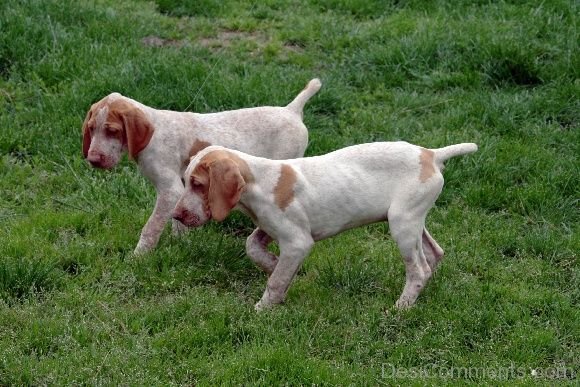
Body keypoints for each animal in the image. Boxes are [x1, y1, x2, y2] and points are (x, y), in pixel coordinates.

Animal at [81, 79, 322, 255]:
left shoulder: (170, 190)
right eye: (91, 128)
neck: (154, 132)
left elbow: (151, 227)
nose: (93, 159)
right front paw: (180, 245)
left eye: (112, 131)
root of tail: (291, 110)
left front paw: (139, 257)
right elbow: (178, 222)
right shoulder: (182, 189)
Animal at [172, 142, 476, 312]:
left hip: (402, 223)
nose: (176, 215)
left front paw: (263, 308)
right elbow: (253, 248)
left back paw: (401, 308)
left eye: (198, 184)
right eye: (186, 181)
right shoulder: (269, 230)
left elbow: (275, 281)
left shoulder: (297, 241)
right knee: (434, 254)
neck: (260, 181)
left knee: (418, 270)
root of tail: (431, 155)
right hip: (413, 221)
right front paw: (275, 266)